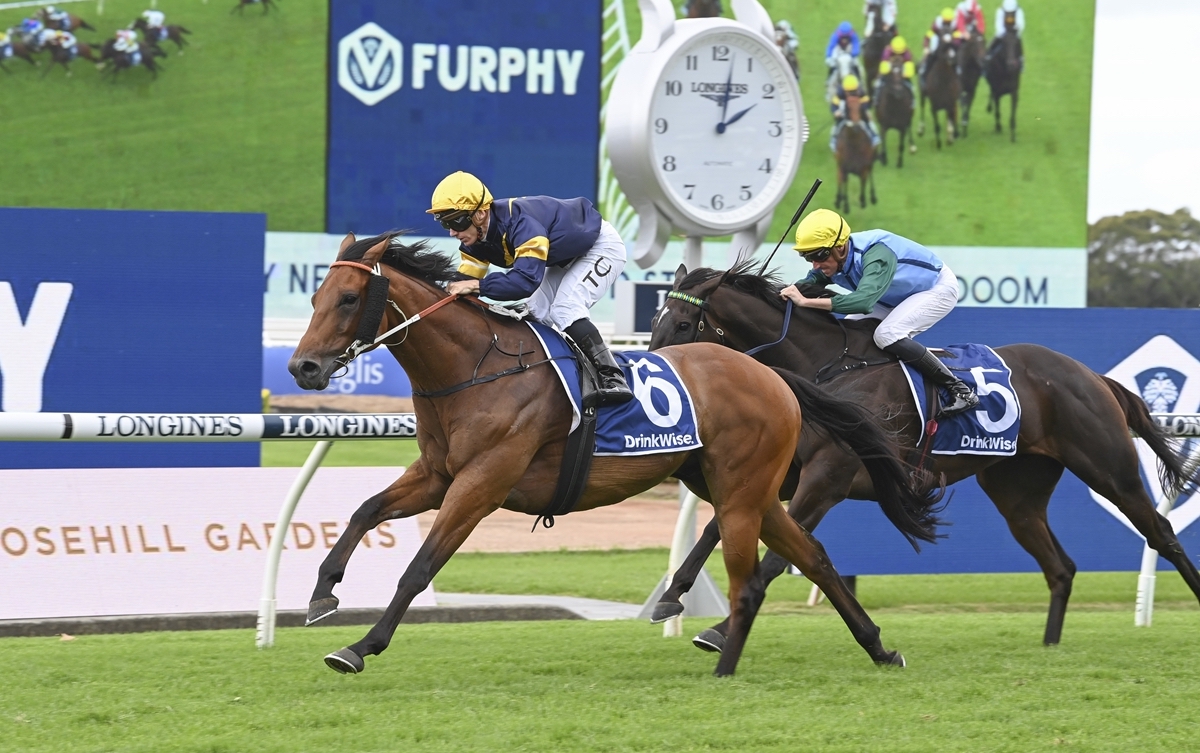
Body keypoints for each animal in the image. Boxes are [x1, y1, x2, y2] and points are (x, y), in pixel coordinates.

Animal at [290, 231, 945, 676]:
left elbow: (419, 567)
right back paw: (878, 647)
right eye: (317, 293)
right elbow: (365, 511)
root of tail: (773, 375)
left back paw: (728, 658)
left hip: (744, 488)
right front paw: (323, 593)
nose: (304, 368)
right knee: (811, 557)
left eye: (349, 298)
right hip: (741, 488)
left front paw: (360, 646)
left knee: (761, 572)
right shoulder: (436, 473)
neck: (476, 367)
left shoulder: (482, 482)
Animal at [652, 261, 1200, 652]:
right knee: (1060, 565)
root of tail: (1090, 375)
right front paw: (672, 596)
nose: (656, 370)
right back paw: (1049, 646)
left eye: (682, 323)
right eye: (657, 320)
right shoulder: (779, 475)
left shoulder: (827, 477)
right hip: (1018, 493)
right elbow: (715, 527)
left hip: (1109, 468)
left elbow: (774, 560)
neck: (825, 367)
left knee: (1161, 532)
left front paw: (718, 630)